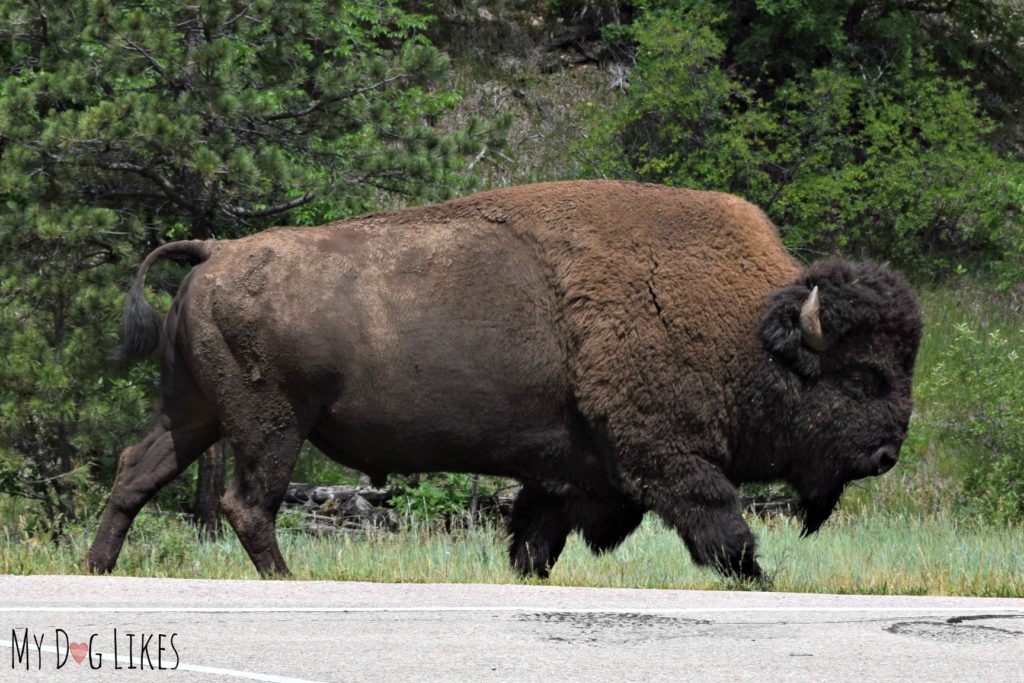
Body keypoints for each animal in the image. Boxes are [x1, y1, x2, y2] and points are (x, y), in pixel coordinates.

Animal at [86, 181, 921, 581]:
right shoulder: (668, 458)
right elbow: (722, 527)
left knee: (135, 471)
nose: (886, 454)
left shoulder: (564, 474)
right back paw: (290, 577)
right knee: (246, 503)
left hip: (193, 409)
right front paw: (759, 579)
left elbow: (534, 542)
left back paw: (97, 565)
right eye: (861, 377)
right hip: (270, 422)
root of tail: (216, 251)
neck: (746, 326)